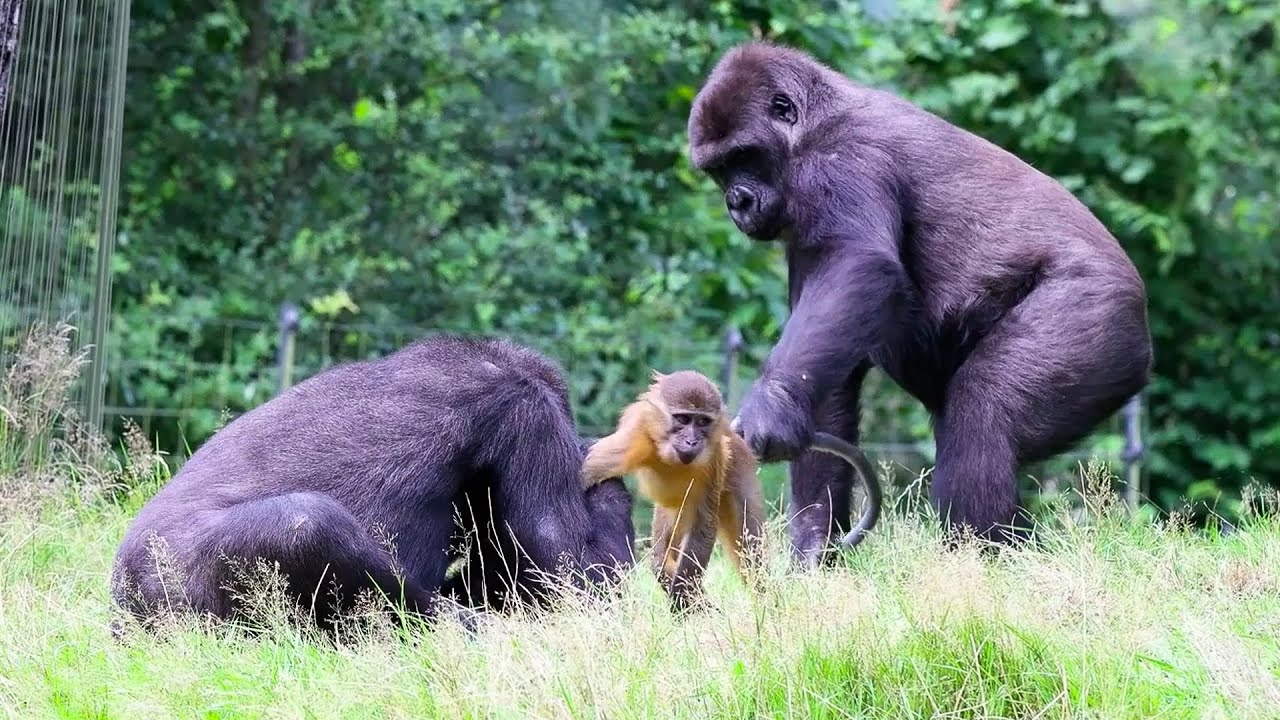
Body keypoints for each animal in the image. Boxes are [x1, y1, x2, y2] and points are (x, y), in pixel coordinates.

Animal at [582, 370, 766, 612]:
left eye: (702, 421)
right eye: (683, 419)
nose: (692, 441)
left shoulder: (715, 458)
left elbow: (703, 525)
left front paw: (682, 598)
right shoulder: (634, 439)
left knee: (750, 547)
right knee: (661, 558)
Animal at [687, 42, 1152, 563]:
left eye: (743, 156)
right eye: (719, 169)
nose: (737, 202)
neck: (812, 122)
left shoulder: (840, 159)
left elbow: (860, 265)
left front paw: (772, 404)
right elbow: (829, 383)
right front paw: (813, 543)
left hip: (1099, 316)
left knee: (984, 414)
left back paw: (982, 556)